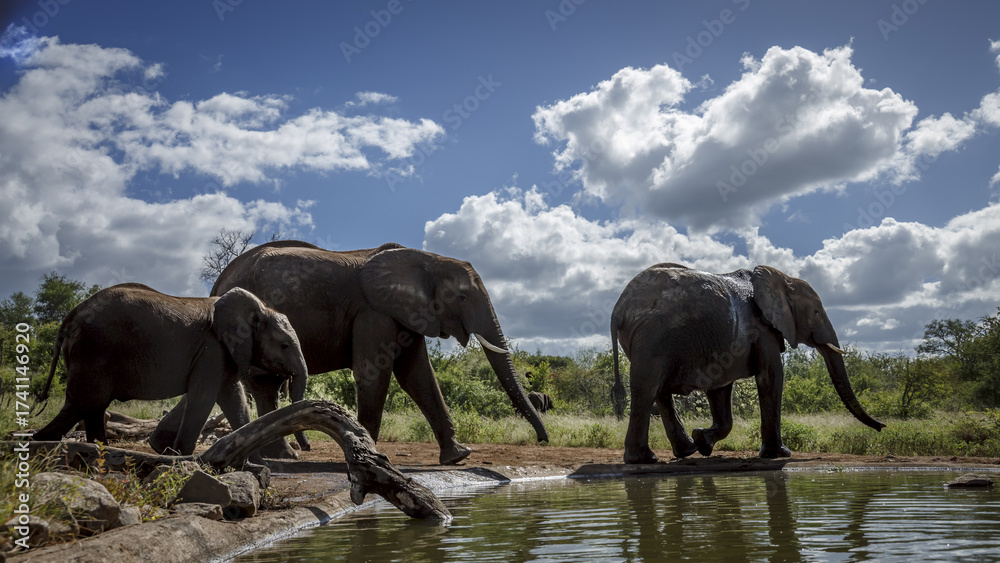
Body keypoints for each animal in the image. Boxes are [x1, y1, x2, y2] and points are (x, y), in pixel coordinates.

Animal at [33, 283, 308, 457]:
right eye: (284, 346)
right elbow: (204, 397)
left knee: (91, 407)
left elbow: (233, 398)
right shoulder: (211, 349)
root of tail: (70, 317)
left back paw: (98, 452)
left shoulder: (223, 353)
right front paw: (180, 457)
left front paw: (249, 460)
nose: (304, 449)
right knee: (84, 403)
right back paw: (40, 446)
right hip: (94, 350)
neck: (259, 308)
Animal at [156, 241, 549, 464]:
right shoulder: (373, 312)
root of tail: (217, 282)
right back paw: (283, 455)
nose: (542, 441)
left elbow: (418, 376)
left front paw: (458, 457)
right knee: (262, 383)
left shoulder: (403, 313)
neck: (427, 258)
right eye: (463, 297)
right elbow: (376, 371)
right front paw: (371, 452)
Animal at [610, 263, 884, 464]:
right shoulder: (762, 329)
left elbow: (720, 389)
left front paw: (703, 441)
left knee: (660, 393)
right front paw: (779, 454)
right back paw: (644, 459)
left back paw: (686, 451)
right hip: (653, 339)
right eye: (816, 313)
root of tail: (618, 308)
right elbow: (771, 377)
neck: (781, 278)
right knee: (646, 389)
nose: (882, 427)